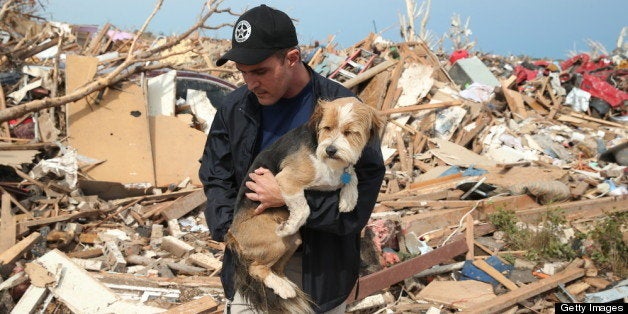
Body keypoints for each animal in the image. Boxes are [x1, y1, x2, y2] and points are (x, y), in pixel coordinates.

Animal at [226, 97, 382, 312]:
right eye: (327, 128)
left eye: (350, 132)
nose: (330, 150)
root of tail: (232, 235)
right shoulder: (286, 180)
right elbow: (304, 208)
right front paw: (291, 224)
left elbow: (352, 175)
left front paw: (349, 199)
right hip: (274, 241)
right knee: (257, 268)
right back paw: (283, 287)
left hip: (293, 242)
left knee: (276, 268)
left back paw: (286, 284)